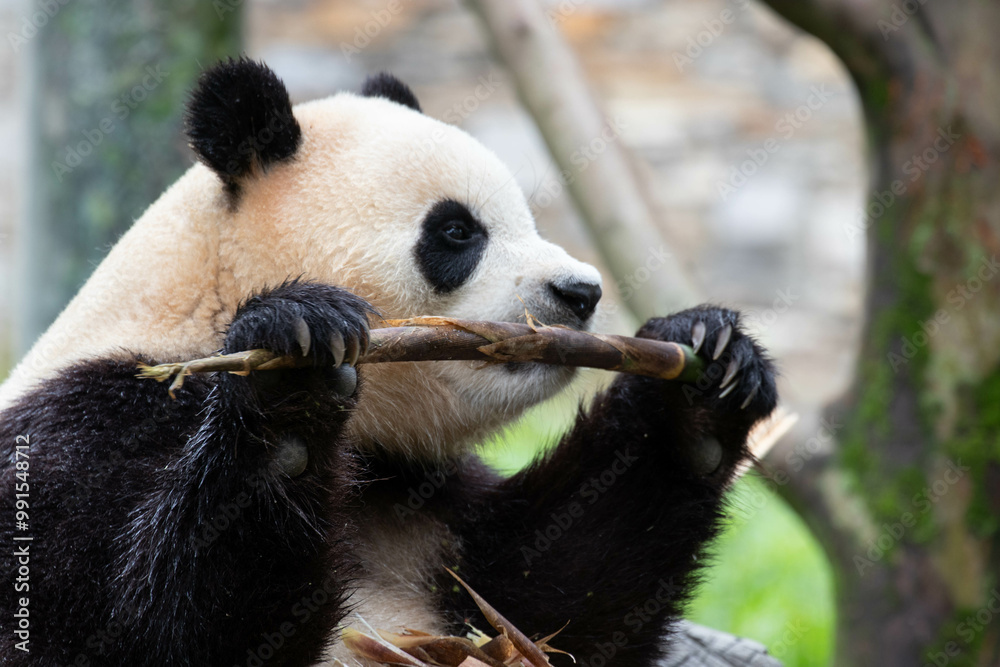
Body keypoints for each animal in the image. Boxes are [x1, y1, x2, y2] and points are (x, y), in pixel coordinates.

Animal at [0, 58, 777, 666]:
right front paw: (293, 376)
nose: (580, 292)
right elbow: (137, 635)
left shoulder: (424, 508)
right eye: (457, 231)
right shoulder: (87, 437)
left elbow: (557, 603)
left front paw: (706, 378)